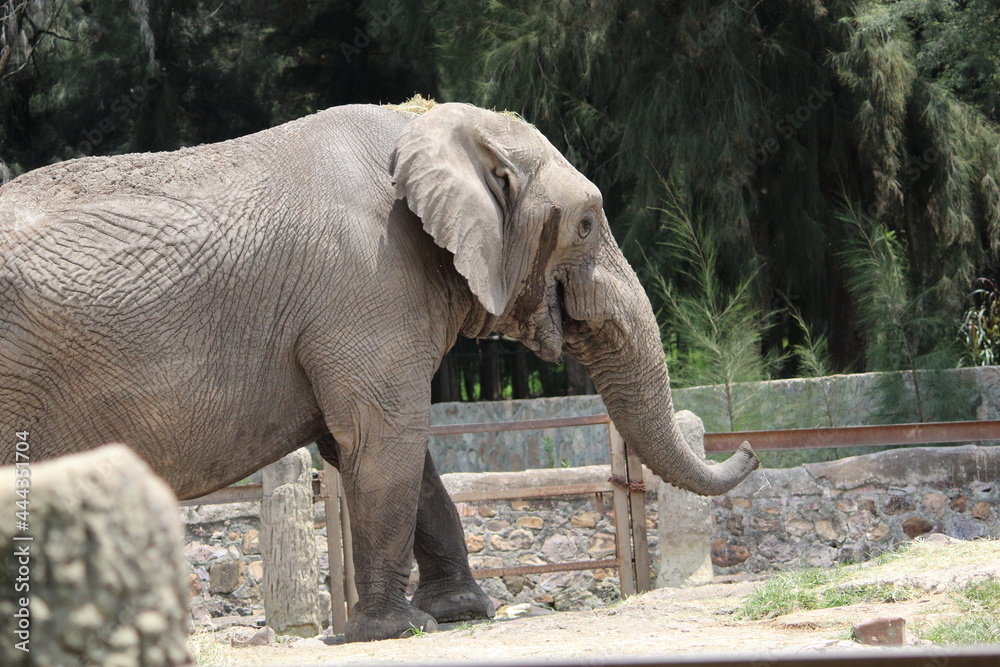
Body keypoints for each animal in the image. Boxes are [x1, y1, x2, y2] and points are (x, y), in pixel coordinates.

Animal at [0, 101, 759, 642]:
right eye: (587, 223)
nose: (750, 447)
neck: (426, 128)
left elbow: (387, 450)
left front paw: (462, 613)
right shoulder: (366, 282)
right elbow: (384, 435)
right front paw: (396, 629)